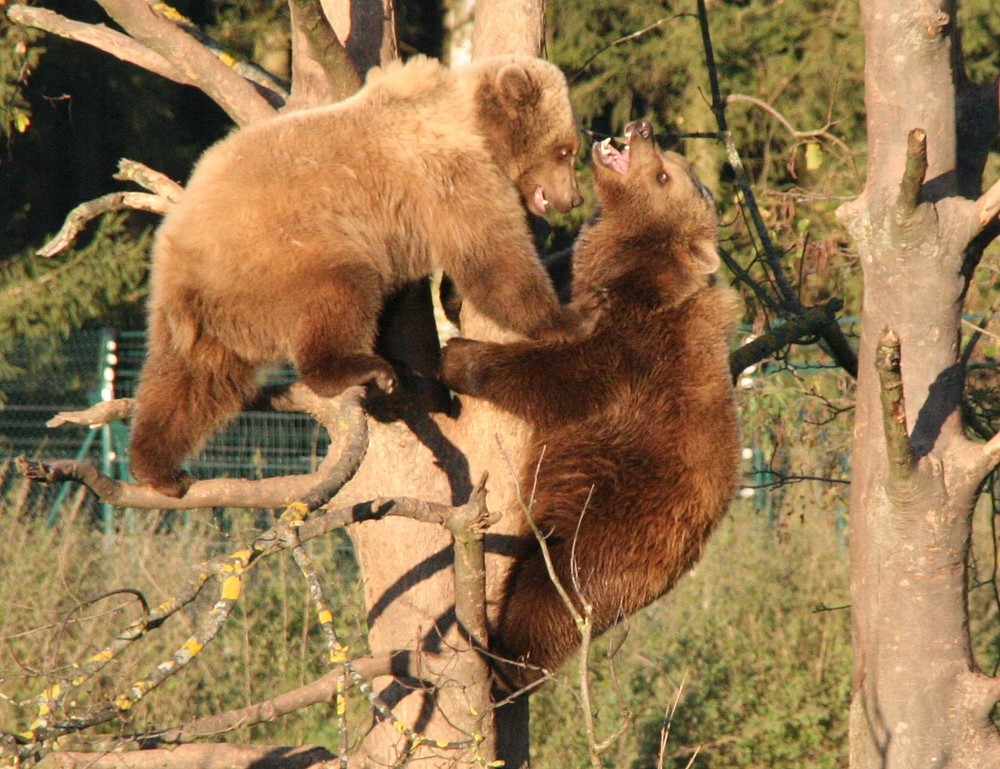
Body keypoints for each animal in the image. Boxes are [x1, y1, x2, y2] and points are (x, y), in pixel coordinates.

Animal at [132, 55, 584, 498]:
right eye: (564, 150)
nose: (574, 198)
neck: (477, 126)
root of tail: (186, 267)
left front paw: (455, 301)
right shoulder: (448, 175)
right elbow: (493, 256)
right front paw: (567, 317)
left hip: (198, 314)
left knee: (186, 383)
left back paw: (159, 468)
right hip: (287, 254)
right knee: (341, 296)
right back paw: (363, 369)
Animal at [442, 121, 740, 688]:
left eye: (664, 175)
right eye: (671, 161)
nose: (641, 128)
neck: (630, 274)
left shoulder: (638, 350)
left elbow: (567, 379)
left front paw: (460, 355)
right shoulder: (580, 282)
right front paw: (453, 289)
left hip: (612, 526)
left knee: (550, 595)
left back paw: (506, 663)